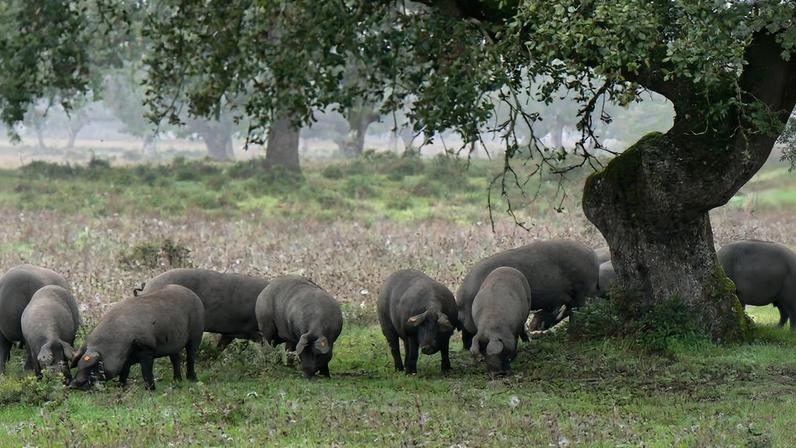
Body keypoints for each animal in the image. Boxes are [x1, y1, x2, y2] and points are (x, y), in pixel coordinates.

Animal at [70, 285, 204, 390]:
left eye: (95, 367)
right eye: (79, 366)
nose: (74, 385)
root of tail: (194, 296)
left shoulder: (147, 349)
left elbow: (146, 371)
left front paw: (150, 390)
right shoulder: (126, 360)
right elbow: (124, 372)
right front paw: (121, 387)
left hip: (196, 333)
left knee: (191, 356)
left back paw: (192, 380)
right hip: (174, 343)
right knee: (175, 359)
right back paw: (177, 380)